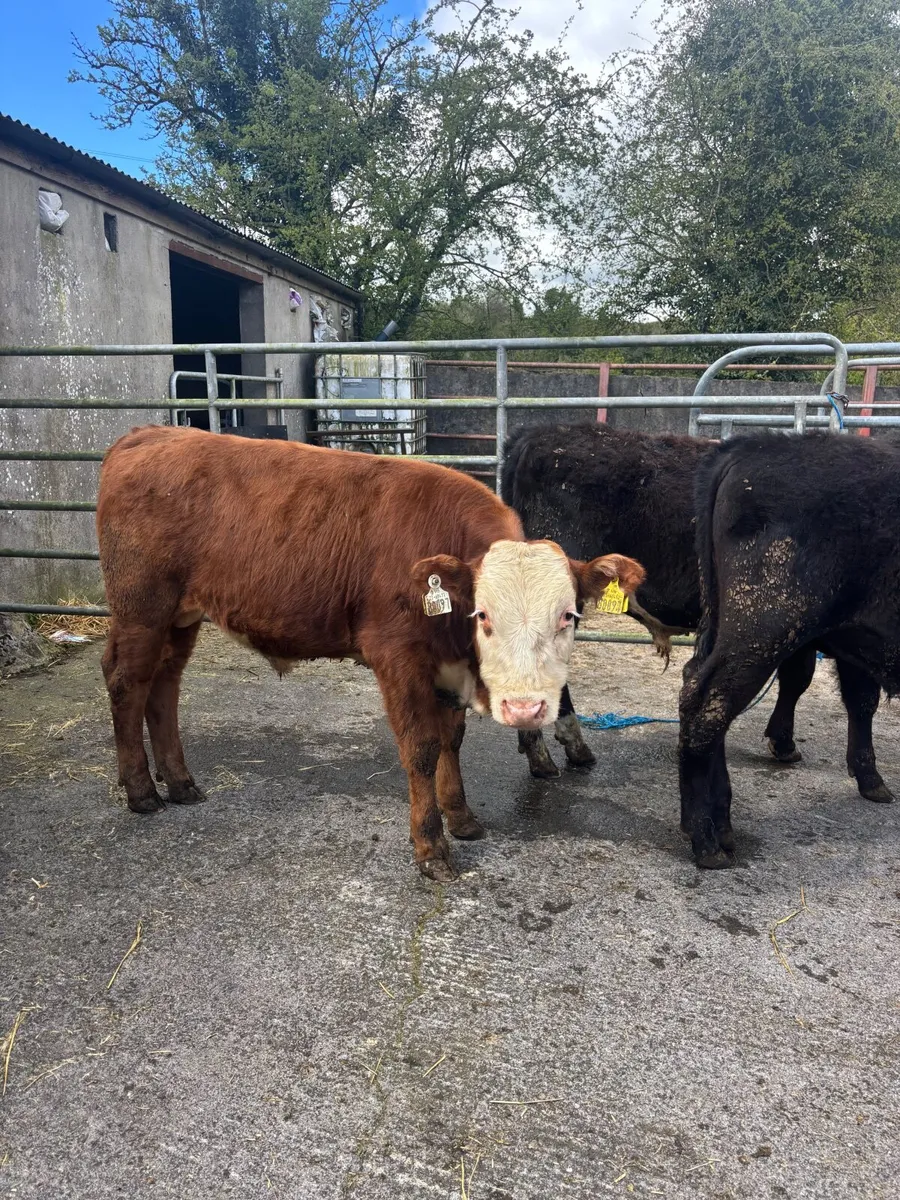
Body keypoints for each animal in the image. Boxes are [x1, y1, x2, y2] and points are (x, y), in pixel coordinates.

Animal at [96, 426, 645, 881]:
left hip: (179, 618)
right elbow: (422, 748)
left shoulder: (446, 667)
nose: (526, 707)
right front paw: (431, 847)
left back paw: (179, 782)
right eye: (483, 614)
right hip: (141, 608)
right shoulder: (398, 657)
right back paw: (142, 790)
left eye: (568, 616)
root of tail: (149, 432)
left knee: (164, 687)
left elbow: (452, 740)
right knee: (127, 681)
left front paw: (461, 817)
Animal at [680, 432, 898, 868]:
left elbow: (860, 702)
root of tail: (748, 448)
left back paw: (720, 825)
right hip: (762, 634)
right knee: (708, 706)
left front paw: (871, 780)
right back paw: (707, 842)